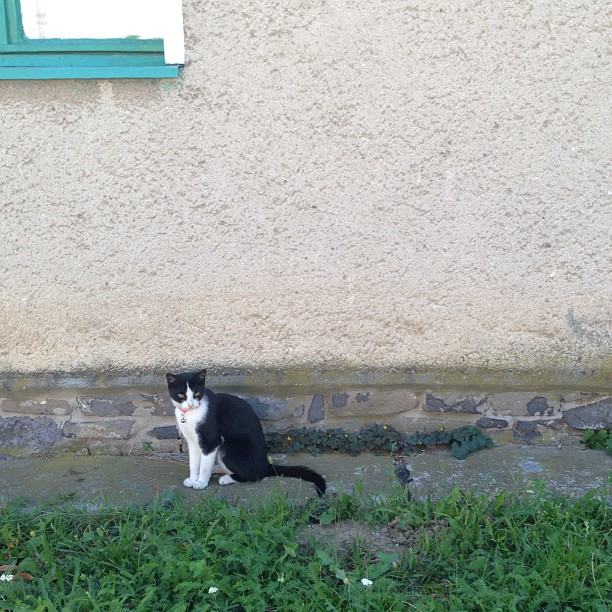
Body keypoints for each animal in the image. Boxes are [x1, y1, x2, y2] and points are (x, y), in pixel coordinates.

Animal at [166, 369, 326, 497]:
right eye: (181, 395)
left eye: (197, 393)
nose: (191, 404)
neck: (191, 415)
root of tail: (266, 464)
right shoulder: (192, 441)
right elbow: (194, 462)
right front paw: (193, 478)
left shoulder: (211, 441)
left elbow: (204, 466)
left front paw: (201, 482)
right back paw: (217, 469)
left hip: (228, 448)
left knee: (256, 475)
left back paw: (226, 478)